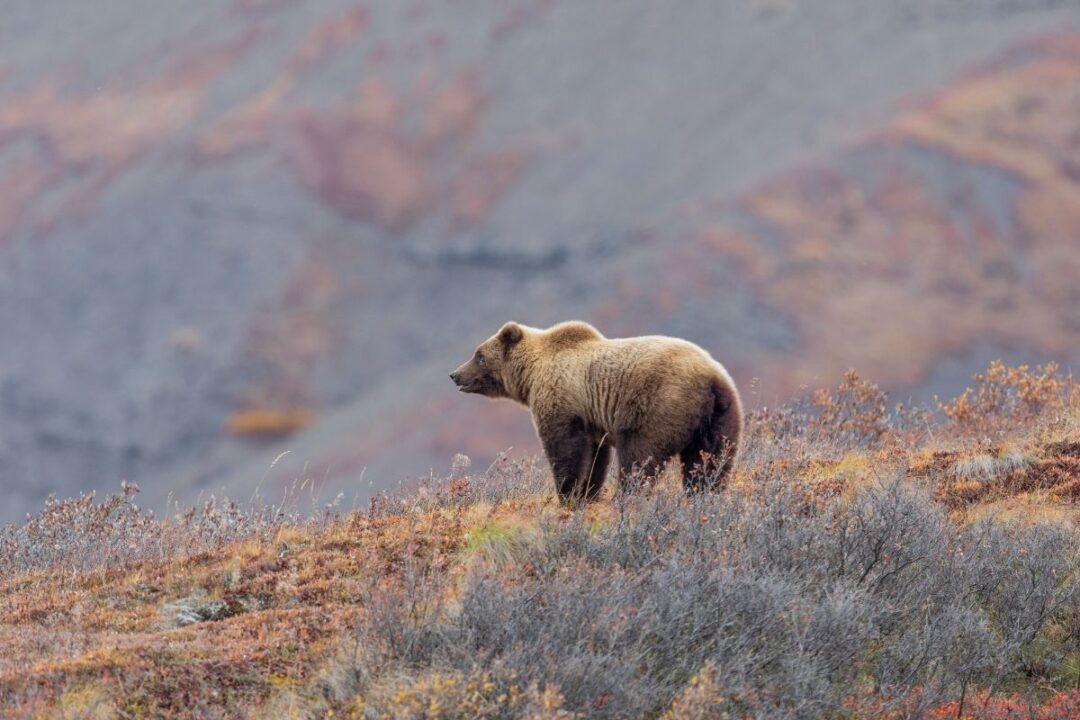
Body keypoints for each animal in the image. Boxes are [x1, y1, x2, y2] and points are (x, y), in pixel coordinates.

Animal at [450, 320, 742, 503]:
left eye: (479, 355)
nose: (455, 374)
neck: (531, 375)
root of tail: (711, 379)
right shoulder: (591, 421)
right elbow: (595, 458)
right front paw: (587, 494)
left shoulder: (561, 400)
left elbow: (565, 449)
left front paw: (568, 495)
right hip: (720, 417)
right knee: (710, 461)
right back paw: (703, 495)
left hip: (659, 407)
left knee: (639, 458)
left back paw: (627, 496)